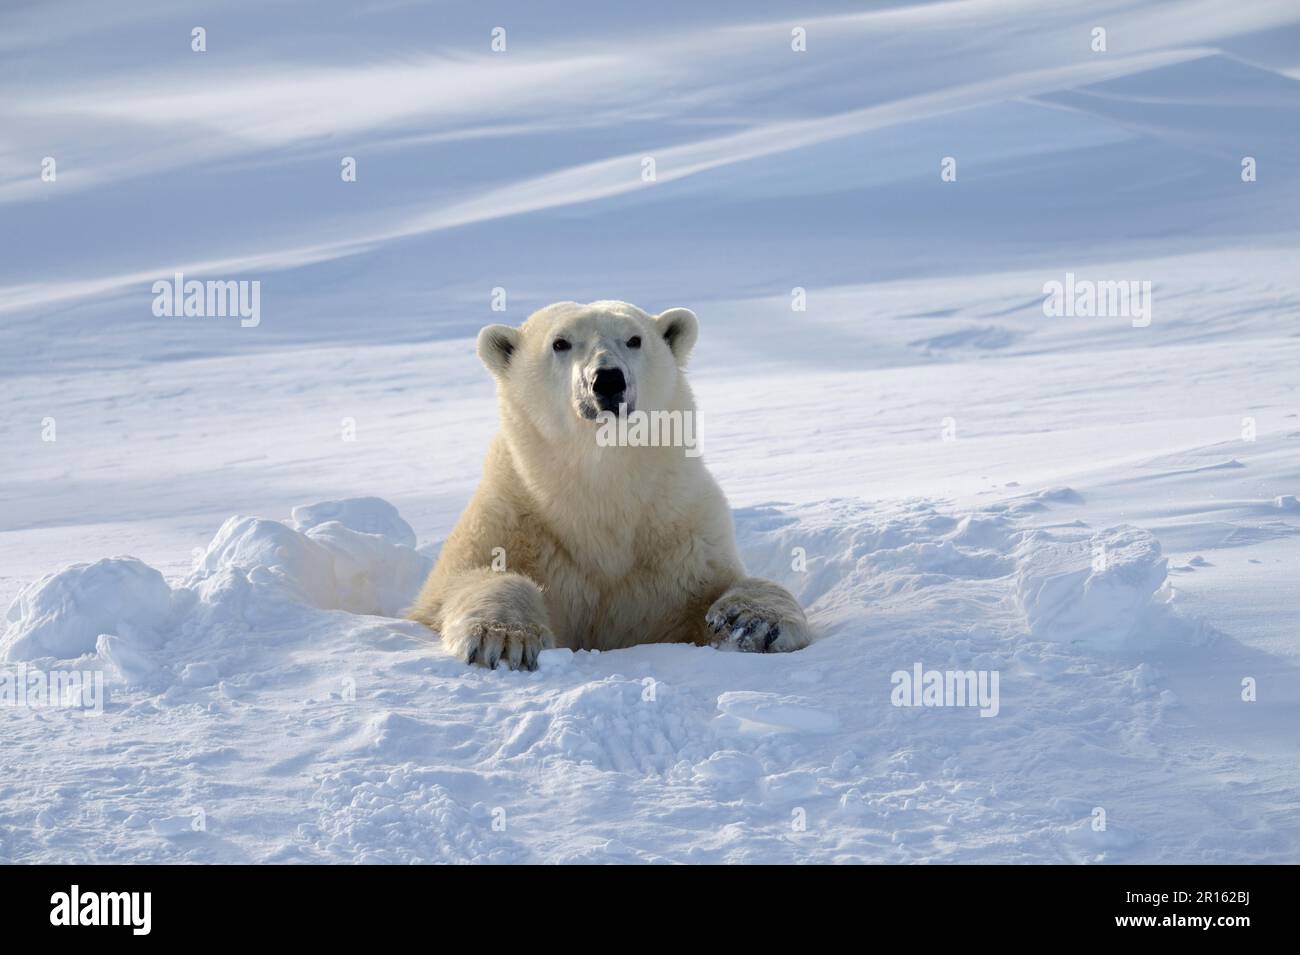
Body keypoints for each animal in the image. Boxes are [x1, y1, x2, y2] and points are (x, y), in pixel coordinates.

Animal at [405, 302, 811, 670]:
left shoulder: (679, 534)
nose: (608, 379)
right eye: (560, 342)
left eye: (634, 339)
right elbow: (458, 585)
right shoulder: (512, 517)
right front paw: (504, 638)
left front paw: (753, 622)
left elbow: (717, 590)